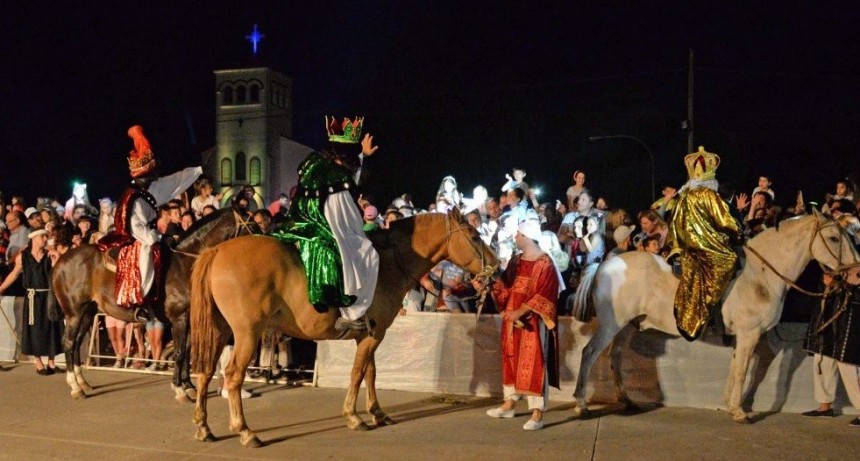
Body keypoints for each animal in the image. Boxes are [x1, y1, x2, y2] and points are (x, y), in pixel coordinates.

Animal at [51, 208, 255, 398]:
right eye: (252, 226)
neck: (185, 263)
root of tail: (60, 261)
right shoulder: (179, 318)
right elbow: (180, 352)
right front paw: (179, 389)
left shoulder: (189, 318)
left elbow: (186, 351)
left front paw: (188, 385)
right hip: (74, 314)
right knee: (69, 343)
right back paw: (76, 387)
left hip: (87, 313)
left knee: (76, 343)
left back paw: (82, 382)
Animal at [188, 208, 498, 446]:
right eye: (474, 235)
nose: (496, 267)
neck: (387, 263)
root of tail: (217, 251)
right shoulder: (374, 336)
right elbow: (358, 373)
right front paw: (354, 415)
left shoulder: (370, 335)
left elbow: (371, 373)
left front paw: (377, 412)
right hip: (247, 333)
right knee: (233, 375)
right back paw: (245, 431)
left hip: (219, 331)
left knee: (205, 371)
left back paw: (204, 427)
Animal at [572, 210, 860, 422]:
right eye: (834, 238)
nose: (856, 271)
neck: (760, 273)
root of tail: (604, 264)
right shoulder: (749, 334)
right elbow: (743, 371)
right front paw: (740, 412)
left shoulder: (742, 337)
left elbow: (735, 369)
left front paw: (730, 405)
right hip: (611, 326)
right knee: (589, 353)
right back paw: (581, 404)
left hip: (626, 327)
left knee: (615, 358)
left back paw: (626, 400)